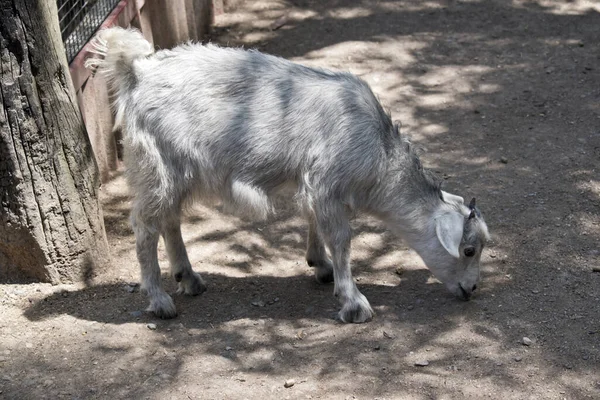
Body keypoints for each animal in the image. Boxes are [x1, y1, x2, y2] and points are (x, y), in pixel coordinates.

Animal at [86, 27, 490, 322]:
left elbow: (313, 221)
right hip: (157, 167)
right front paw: (354, 302)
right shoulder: (327, 183)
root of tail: (138, 70)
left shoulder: (315, 183)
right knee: (145, 227)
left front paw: (320, 266)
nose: (471, 291)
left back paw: (190, 279)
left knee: (170, 220)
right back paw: (159, 300)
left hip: (177, 171)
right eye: (468, 249)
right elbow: (341, 239)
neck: (379, 155)